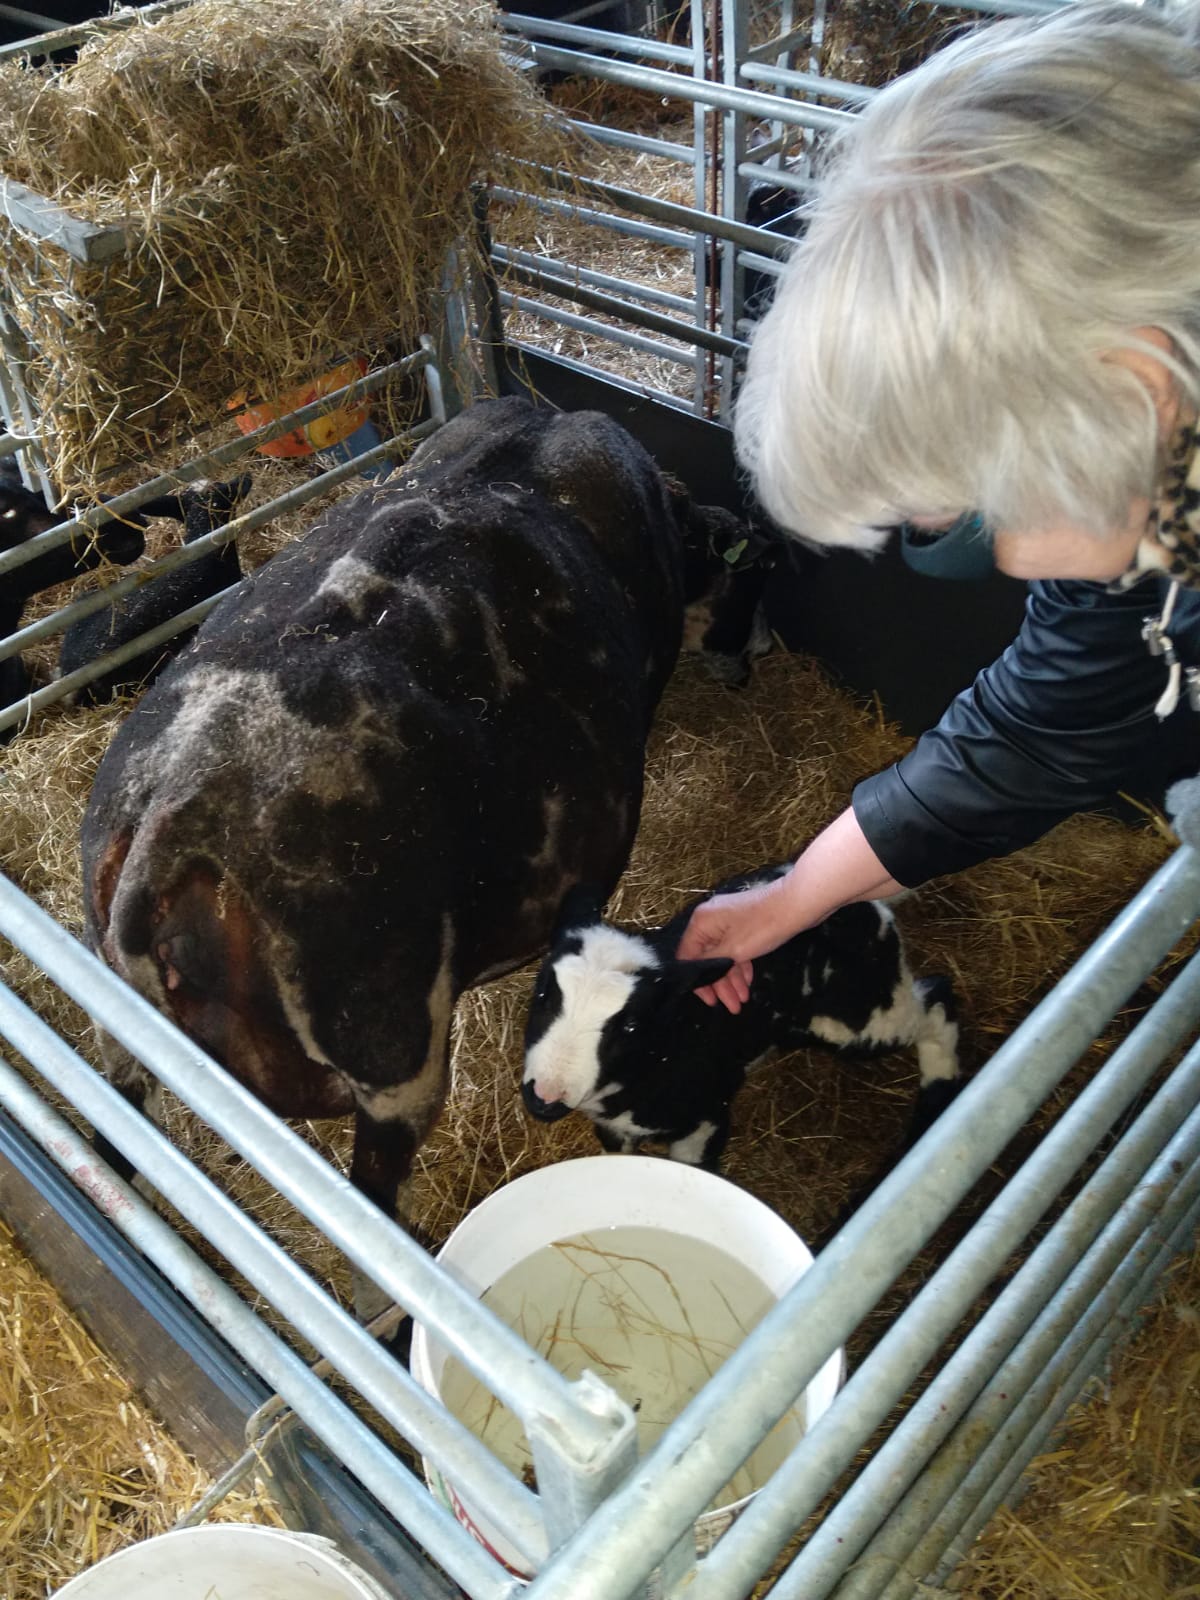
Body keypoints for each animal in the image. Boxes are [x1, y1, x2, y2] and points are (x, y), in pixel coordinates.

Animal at [521, 870, 966, 1171]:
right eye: (542, 995)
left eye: (630, 1026)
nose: (545, 1096)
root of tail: (864, 906)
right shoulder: (614, 1130)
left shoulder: (706, 1120)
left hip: (861, 1017)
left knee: (937, 1002)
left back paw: (937, 1097)